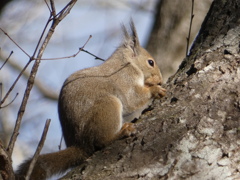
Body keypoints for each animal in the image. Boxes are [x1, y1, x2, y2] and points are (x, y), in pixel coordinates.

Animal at [15, 20, 166, 180]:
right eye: (151, 62)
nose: (160, 80)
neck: (128, 63)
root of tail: (80, 144)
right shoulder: (125, 79)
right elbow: (133, 99)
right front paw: (155, 90)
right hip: (107, 107)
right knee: (101, 141)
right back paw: (121, 132)